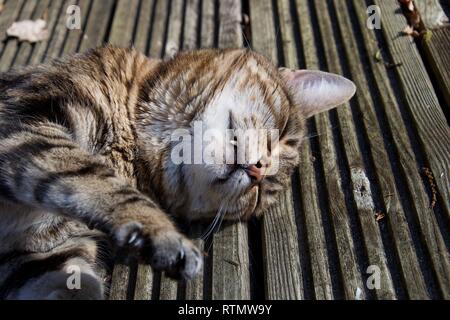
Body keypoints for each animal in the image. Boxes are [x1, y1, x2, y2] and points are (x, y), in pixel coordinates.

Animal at [0, 45, 356, 300]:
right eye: (282, 133)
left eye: (259, 195)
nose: (258, 171)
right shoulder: (24, 124)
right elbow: (91, 176)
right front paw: (162, 233)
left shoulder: (39, 258)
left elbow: (73, 283)